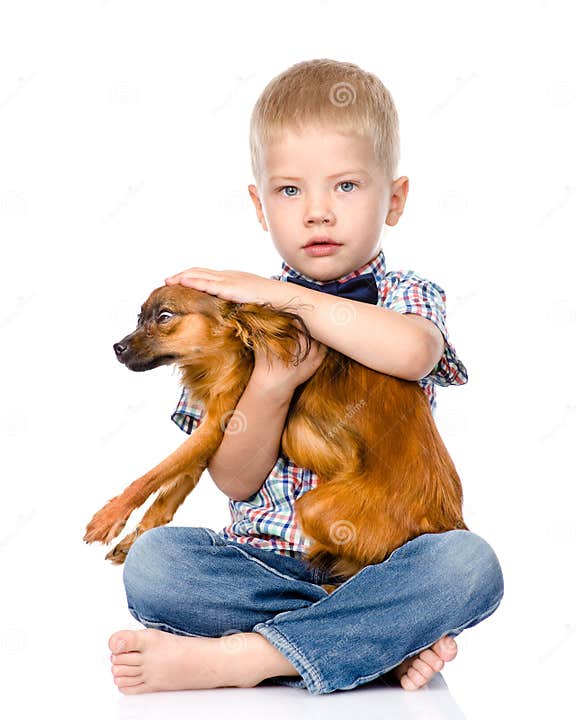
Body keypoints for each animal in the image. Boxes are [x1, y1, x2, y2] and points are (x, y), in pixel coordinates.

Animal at [83, 280, 468, 584]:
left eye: (164, 318)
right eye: (139, 319)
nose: (117, 348)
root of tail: (449, 516)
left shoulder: (216, 427)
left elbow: (151, 475)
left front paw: (109, 517)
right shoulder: (211, 436)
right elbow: (170, 490)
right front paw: (134, 537)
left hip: (314, 507)